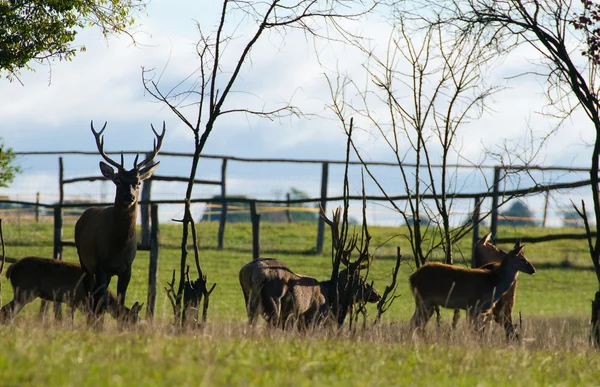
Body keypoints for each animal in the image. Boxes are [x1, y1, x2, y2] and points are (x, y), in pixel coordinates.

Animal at [0, 258, 143, 324]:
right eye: (135, 319)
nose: (140, 330)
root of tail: (11, 268)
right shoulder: (82, 302)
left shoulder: (73, 302)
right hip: (24, 291)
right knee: (7, 309)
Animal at [75, 122, 164, 318]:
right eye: (117, 180)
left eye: (138, 182)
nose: (129, 196)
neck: (118, 247)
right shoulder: (100, 266)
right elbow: (100, 302)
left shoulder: (127, 268)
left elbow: (121, 299)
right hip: (84, 262)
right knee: (91, 296)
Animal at [238, 258, 380, 330]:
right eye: (360, 279)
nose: (377, 295)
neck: (330, 297)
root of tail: (251, 271)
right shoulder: (313, 315)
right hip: (274, 300)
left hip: (249, 299)